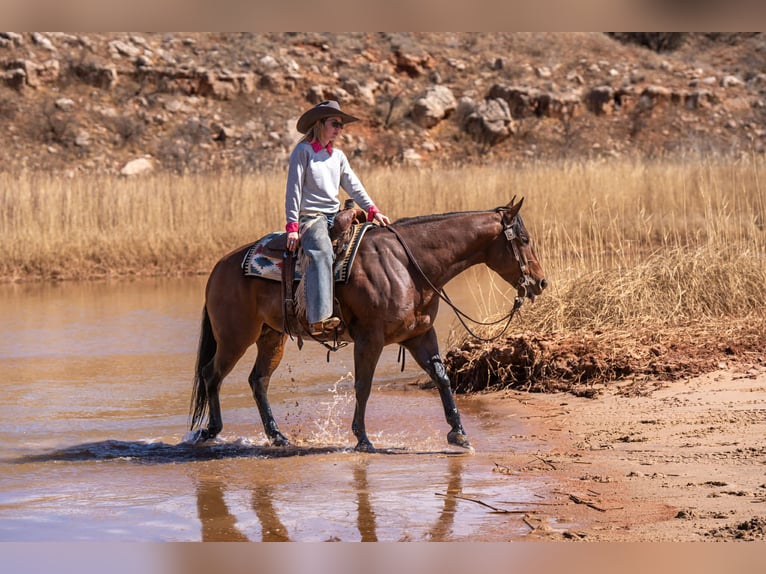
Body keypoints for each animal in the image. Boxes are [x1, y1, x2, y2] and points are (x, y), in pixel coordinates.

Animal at [189, 197, 547, 452]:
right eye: (524, 239)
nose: (541, 282)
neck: (407, 265)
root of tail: (220, 266)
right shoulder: (369, 339)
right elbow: (363, 385)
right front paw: (362, 439)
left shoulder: (419, 335)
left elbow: (442, 378)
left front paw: (459, 434)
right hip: (235, 336)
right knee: (212, 374)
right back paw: (211, 431)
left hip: (271, 336)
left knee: (258, 380)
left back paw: (277, 436)